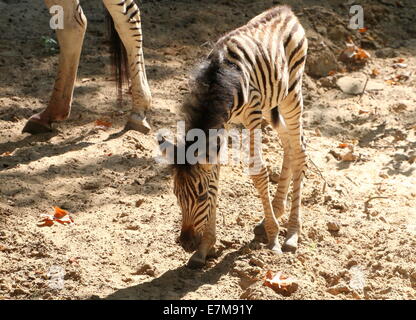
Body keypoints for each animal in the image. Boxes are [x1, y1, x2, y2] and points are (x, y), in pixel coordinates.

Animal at [159, 6, 308, 268]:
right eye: (176, 195)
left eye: (199, 197)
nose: (185, 243)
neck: (218, 80)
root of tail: (285, 11)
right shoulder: (222, 122)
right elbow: (215, 176)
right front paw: (204, 249)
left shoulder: (253, 113)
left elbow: (259, 172)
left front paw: (273, 239)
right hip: (273, 104)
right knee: (288, 145)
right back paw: (276, 210)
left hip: (291, 94)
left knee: (299, 149)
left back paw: (291, 233)